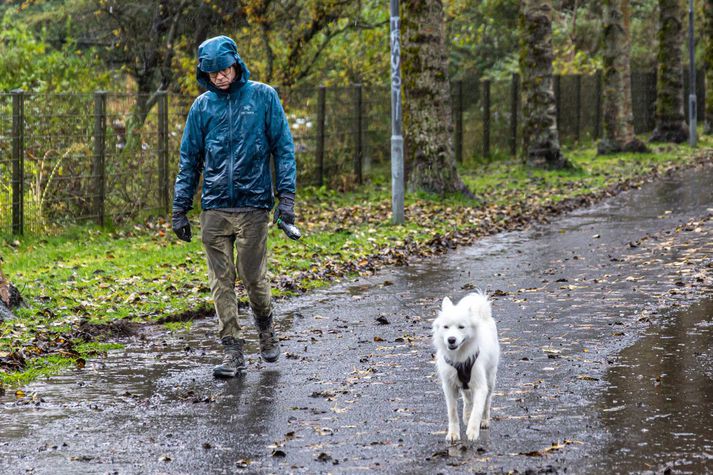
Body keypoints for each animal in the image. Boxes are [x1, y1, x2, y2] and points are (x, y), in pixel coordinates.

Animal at [428, 292, 500, 444]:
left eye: (461, 327)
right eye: (446, 327)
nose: (451, 339)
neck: (459, 357)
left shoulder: (480, 386)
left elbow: (477, 410)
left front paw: (473, 432)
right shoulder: (449, 386)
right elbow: (452, 413)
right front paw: (453, 433)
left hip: (490, 379)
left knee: (487, 402)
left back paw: (485, 421)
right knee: (467, 399)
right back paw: (466, 416)